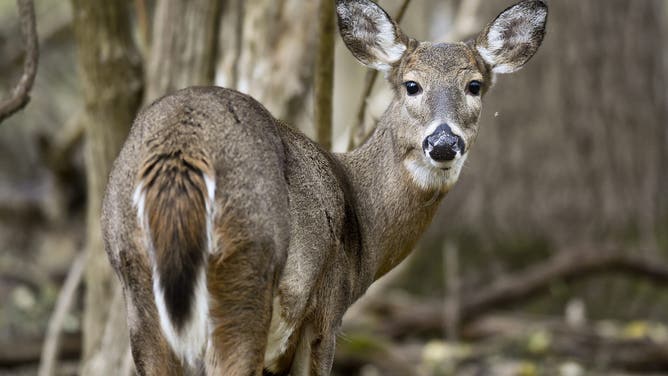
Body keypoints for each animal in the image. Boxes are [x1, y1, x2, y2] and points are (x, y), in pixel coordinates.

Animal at [100, 1, 548, 374]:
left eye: (474, 85)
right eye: (412, 85)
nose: (442, 143)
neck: (361, 219)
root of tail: (183, 149)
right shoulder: (325, 313)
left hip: (137, 286)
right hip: (245, 271)